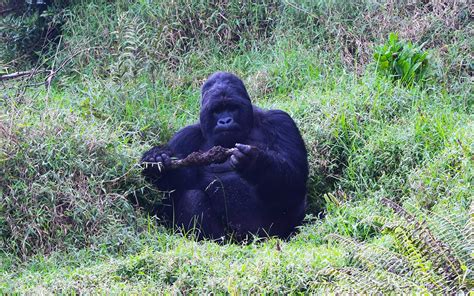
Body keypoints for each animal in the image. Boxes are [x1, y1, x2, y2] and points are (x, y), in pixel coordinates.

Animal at [142, 72, 308, 240]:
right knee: (192, 198)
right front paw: (155, 160)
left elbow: (295, 180)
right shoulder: (183, 137)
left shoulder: (280, 121)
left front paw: (255, 162)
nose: (225, 121)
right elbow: (166, 204)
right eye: (216, 110)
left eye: (232, 108)